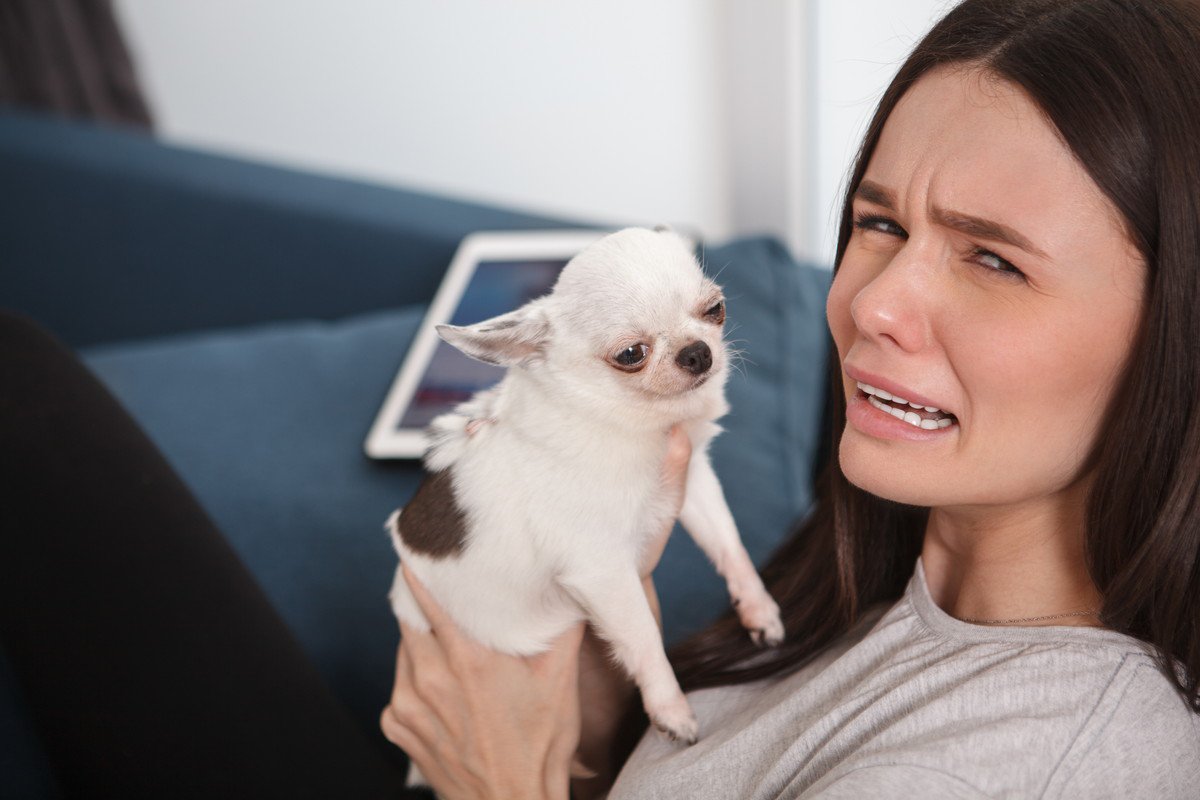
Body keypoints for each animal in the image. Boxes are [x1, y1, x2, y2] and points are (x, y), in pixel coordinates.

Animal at [384, 224, 792, 743]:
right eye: (631, 354)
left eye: (715, 309)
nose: (698, 351)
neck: (626, 421)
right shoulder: (601, 571)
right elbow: (643, 637)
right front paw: (670, 707)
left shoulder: (693, 480)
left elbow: (728, 543)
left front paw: (758, 608)